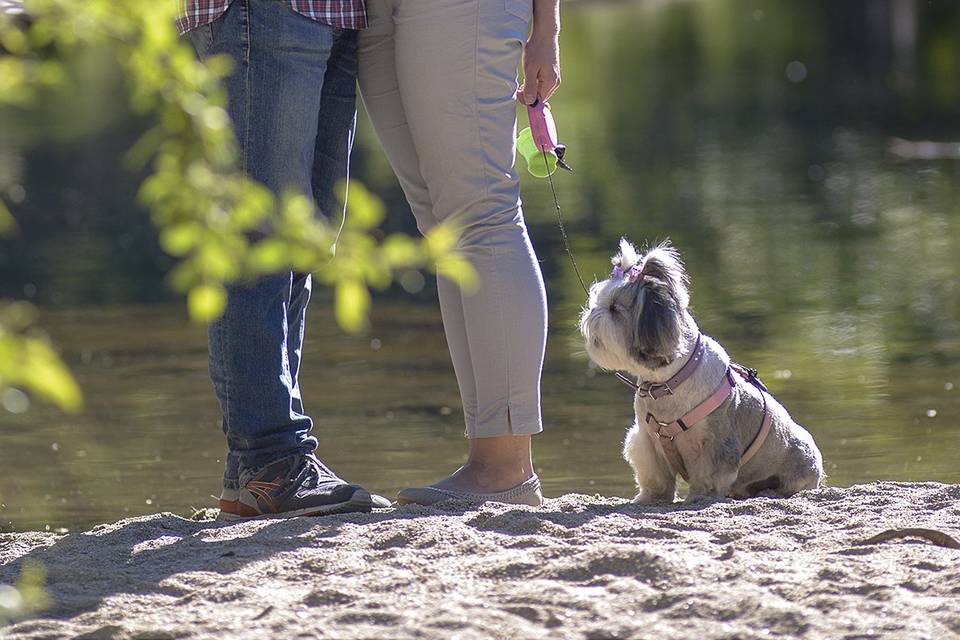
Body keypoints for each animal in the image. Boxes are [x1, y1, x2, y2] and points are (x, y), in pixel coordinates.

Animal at [576, 238, 824, 502]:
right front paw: (651, 498)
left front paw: (700, 496)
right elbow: (654, 475)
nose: (591, 311)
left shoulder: (715, 443)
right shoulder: (646, 439)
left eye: (613, 308)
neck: (667, 383)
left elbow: (708, 475)